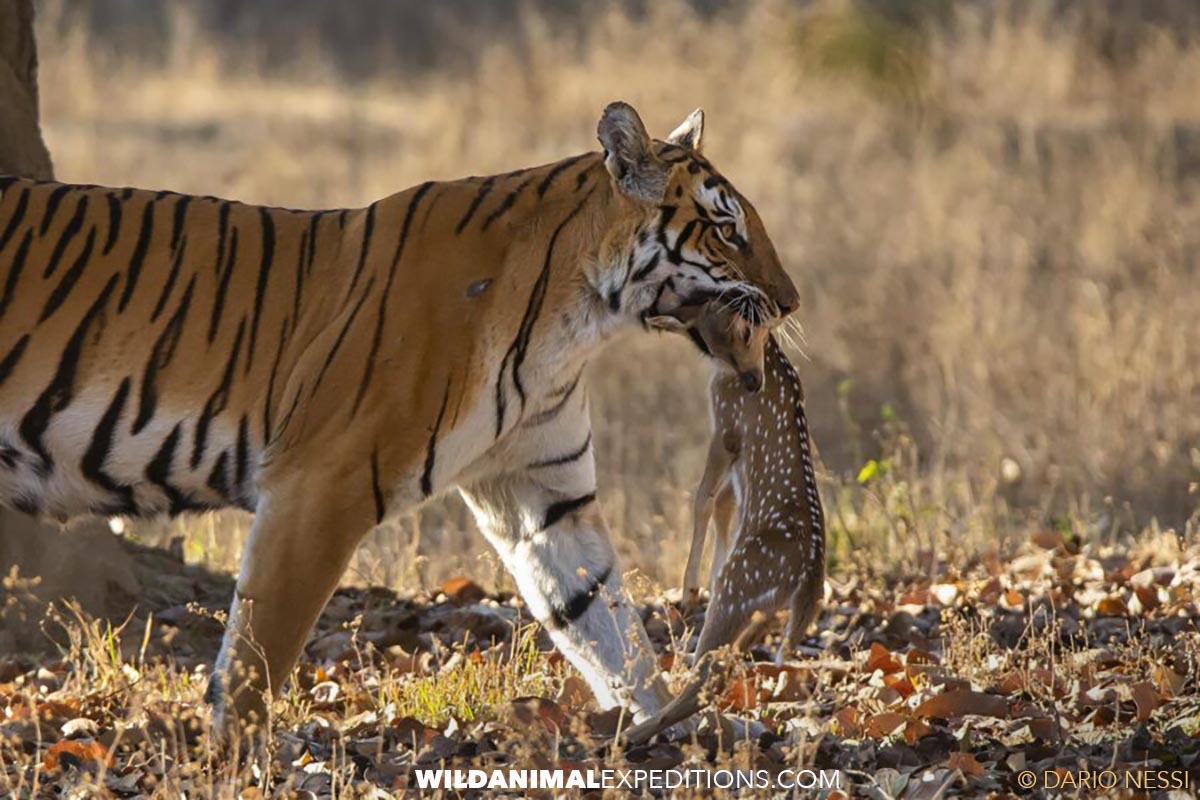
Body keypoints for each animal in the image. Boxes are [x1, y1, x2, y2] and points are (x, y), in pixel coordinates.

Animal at [0, 101, 799, 738]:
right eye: (726, 229)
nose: (791, 301)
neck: (580, 317)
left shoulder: (545, 493)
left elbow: (607, 623)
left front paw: (670, 727)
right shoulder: (320, 486)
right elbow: (261, 653)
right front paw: (232, 761)